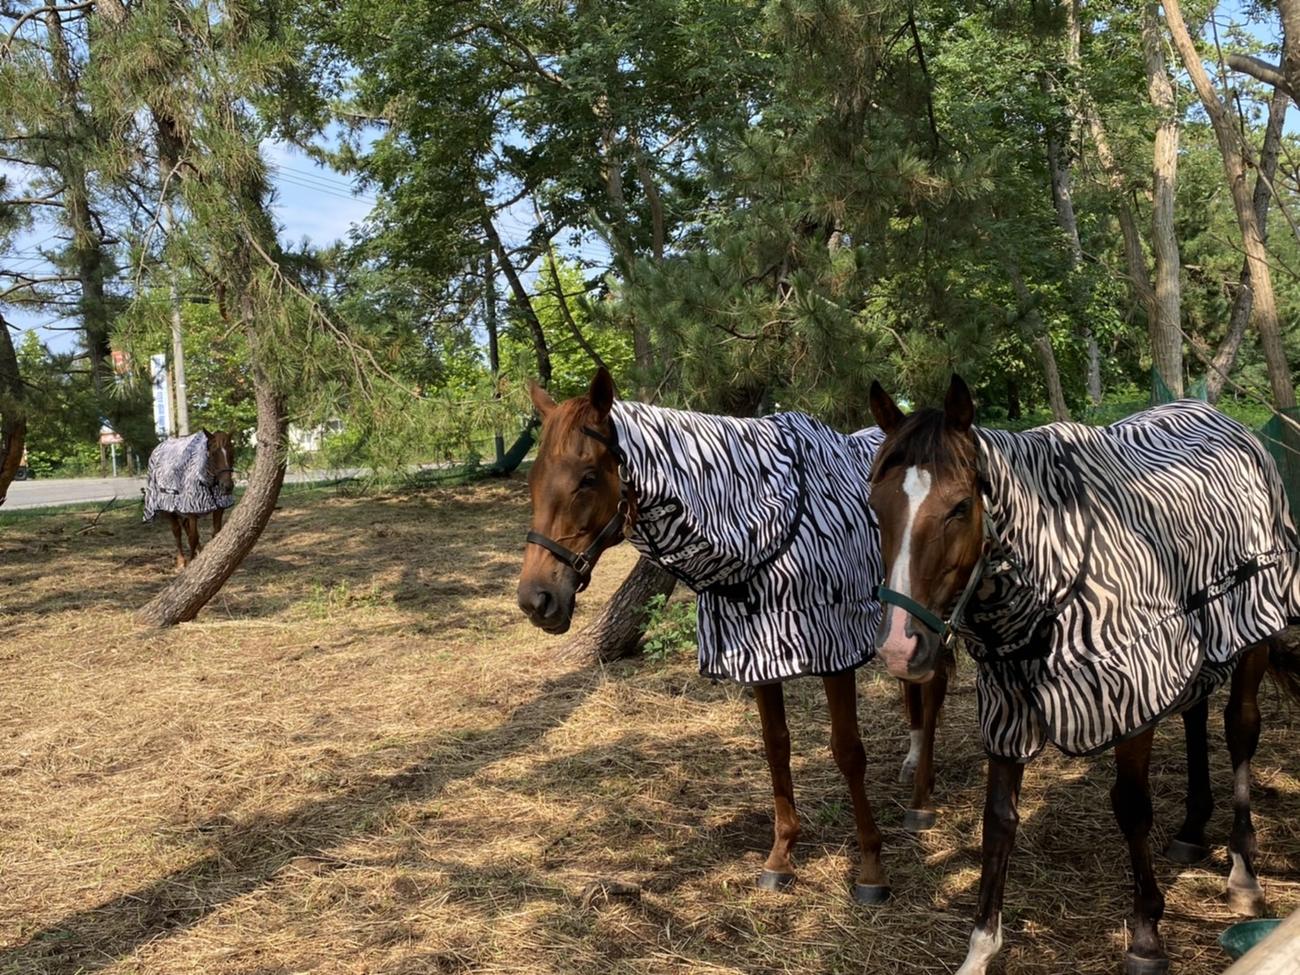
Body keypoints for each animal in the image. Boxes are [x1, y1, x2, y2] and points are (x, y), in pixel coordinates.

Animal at [143, 430, 237, 570]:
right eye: (213, 453)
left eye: (232, 451)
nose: (227, 486)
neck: (204, 479)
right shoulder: (192, 511)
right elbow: (193, 537)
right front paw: (192, 561)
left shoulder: (218, 509)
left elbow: (215, 533)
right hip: (169, 508)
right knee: (177, 531)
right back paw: (181, 561)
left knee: (186, 527)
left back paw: (200, 551)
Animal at [516, 367, 952, 904]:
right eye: (533, 481)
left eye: (589, 478)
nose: (536, 599)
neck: (766, 530)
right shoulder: (759, 656)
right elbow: (776, 746)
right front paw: (781, 856)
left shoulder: (835, 650)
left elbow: (848, 751)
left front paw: (871, 867)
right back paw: (913, 765)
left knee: (934, 688)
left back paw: (921, 800)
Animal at [866, 374, 1300, 975]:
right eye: (875, 505)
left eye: (959, 506)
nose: (899, 648)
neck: (1056, 577)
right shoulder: (1007, 705)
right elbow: (998, 821)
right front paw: (979, 949)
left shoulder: (1131, 696)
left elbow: (1132, 806)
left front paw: (1146, 936)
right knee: (1195, 716)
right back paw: (1192, 830)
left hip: (1252, 628)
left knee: (1240, 729)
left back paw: (1243, 870)